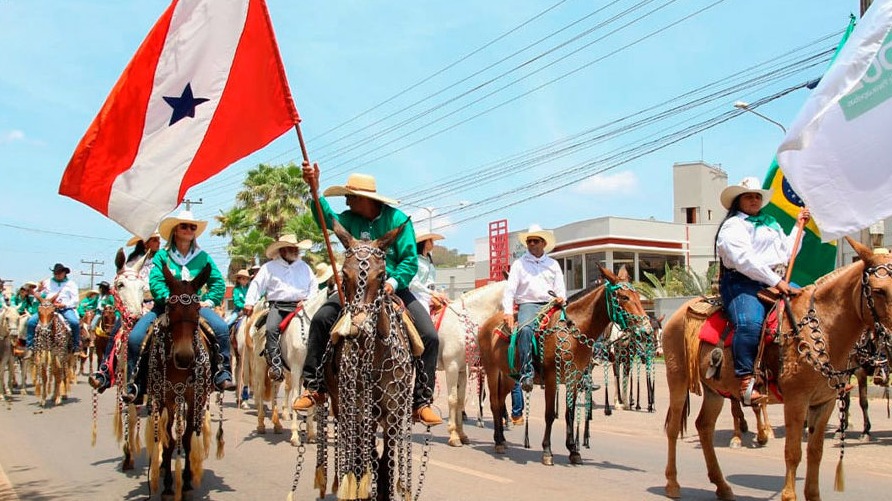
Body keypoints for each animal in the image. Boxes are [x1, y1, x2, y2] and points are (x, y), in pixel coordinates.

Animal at [145, 262, 223, 500]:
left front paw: (187, 481)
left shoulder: (196, 398)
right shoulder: (166, 399)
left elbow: (187, 438)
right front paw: (169, 486)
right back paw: (162, 468)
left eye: (197, 309)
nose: (184, 357)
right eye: (170, 307)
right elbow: (169, 440)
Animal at [436, 282, 506, 446]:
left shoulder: (463, 369)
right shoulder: (452, 367)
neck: (462, 325)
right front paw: (453, 435)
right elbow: (453, 399)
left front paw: (461, 434)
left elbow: (461, 400)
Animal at [478, 266, 652, 464]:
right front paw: (547, 450)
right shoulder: (551, 379)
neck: (572, 330)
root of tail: (487, 324)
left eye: (637, 296)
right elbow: (549, 415)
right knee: (494, 403)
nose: (647, 331)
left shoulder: (573, 379)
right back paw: (498, 441)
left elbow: (569, 413)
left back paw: (502, 438)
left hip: (509, 377)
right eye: (624, 297)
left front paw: (573, 450)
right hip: (492, 372)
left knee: (500, 402)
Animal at [664, 235, 892, 500]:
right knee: (673, 428)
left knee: (704, 427)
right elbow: (793, 452)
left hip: (714, 390)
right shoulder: (796, 400)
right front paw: (789, 495)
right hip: (677, 379)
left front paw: (813, 494)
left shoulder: (824, 403)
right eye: (878, 290)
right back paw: (673, 483)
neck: (823, 328)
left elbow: (815, 452)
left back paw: (722, 485)